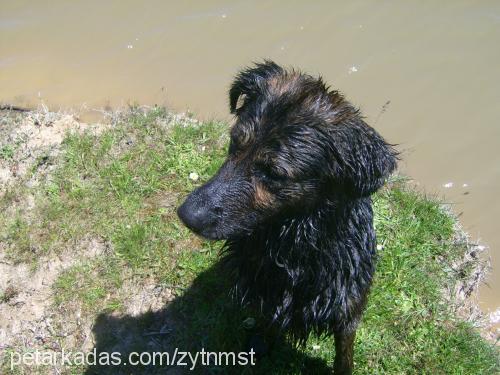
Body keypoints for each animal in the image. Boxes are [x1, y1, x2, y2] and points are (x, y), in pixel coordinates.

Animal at [178, 60, 396, 374]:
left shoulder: (348, 304)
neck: (292, 241)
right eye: (234, 143)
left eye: (273, 172)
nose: (187, 215)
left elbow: (344, 353)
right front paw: (258, 347)